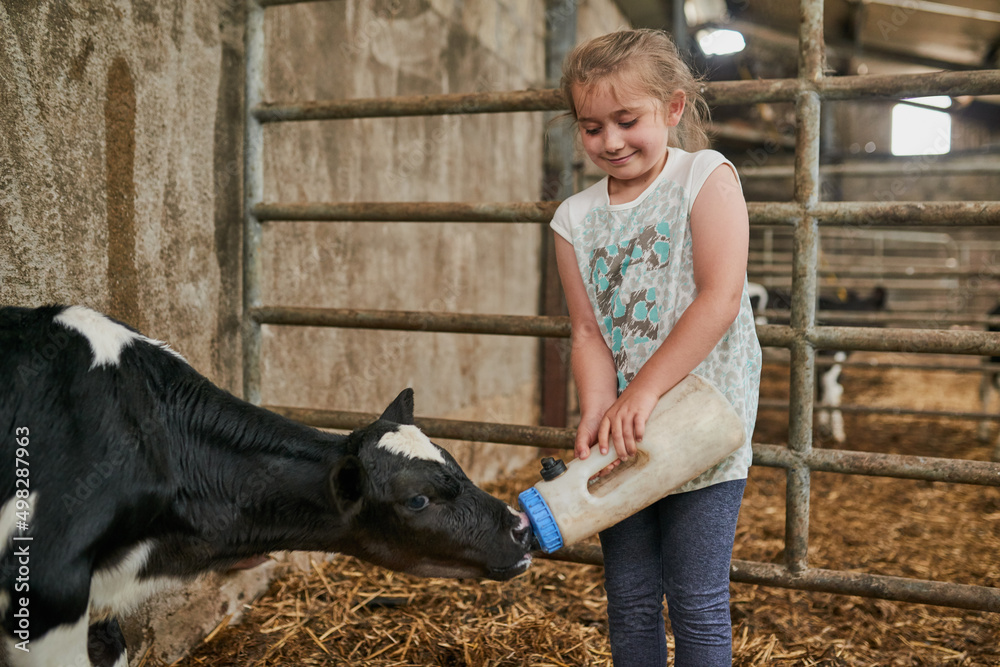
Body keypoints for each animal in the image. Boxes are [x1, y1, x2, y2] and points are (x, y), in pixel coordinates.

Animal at [752, 284, 892, 444]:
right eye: (887, 309)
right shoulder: (832, 357)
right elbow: (834, 391)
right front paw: (837, 432)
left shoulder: (818, 361)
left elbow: (820, 390)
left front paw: (822, 427)